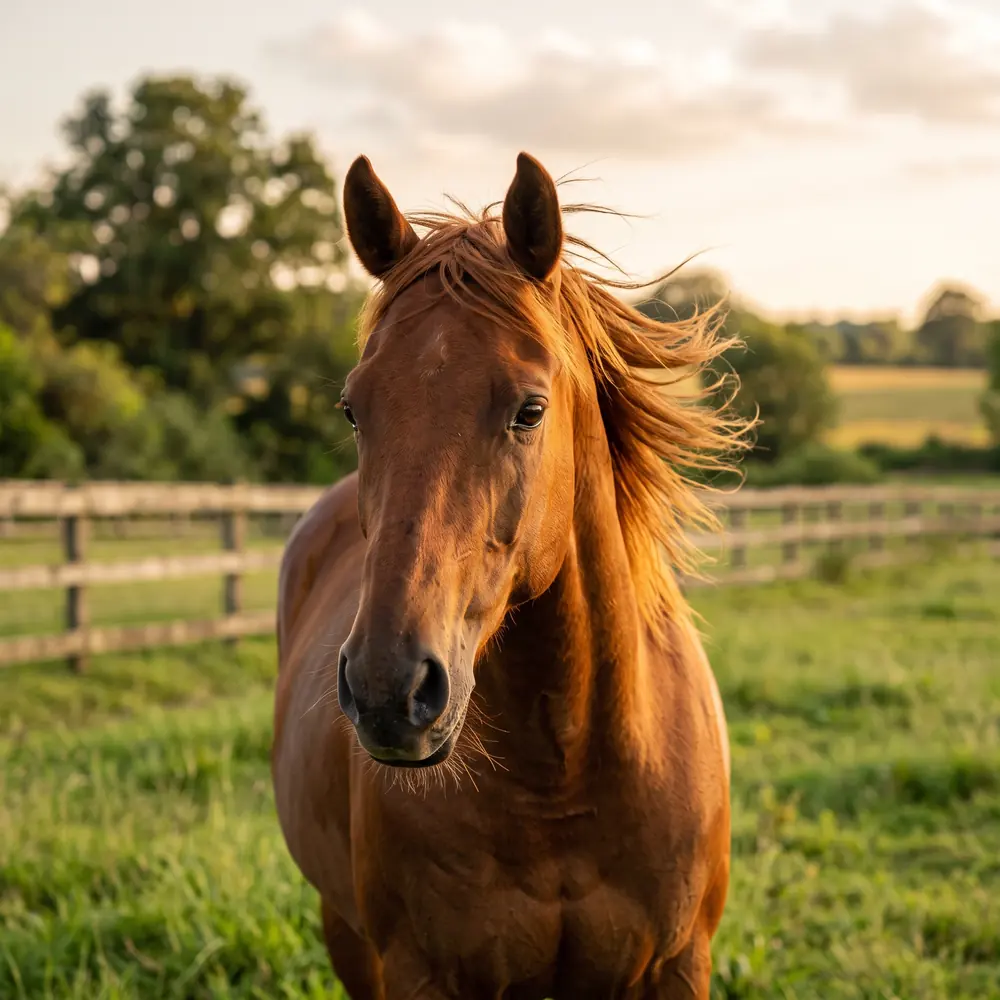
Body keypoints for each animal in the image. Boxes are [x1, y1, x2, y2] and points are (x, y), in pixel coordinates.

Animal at [271, 151, 747, 999]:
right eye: (354, 409)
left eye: (530, 410)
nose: (389, 690)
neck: (562, 777)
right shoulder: (419, 971)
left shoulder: (678, 965)